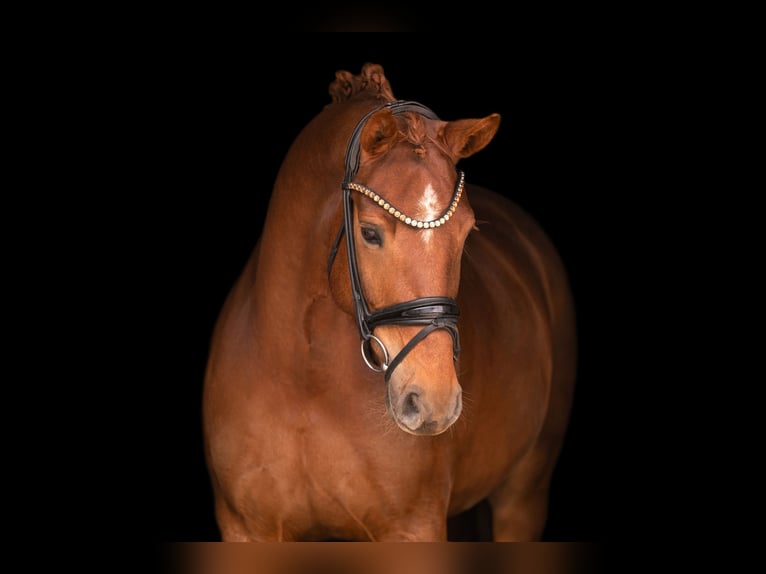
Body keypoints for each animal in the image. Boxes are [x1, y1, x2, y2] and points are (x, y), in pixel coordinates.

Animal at [202, 63, 577, 541]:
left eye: (467, 233)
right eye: (370, 233)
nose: (434, 402)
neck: (303, 377)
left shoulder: (413, 528)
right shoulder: (246, 529)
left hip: (523, 496)